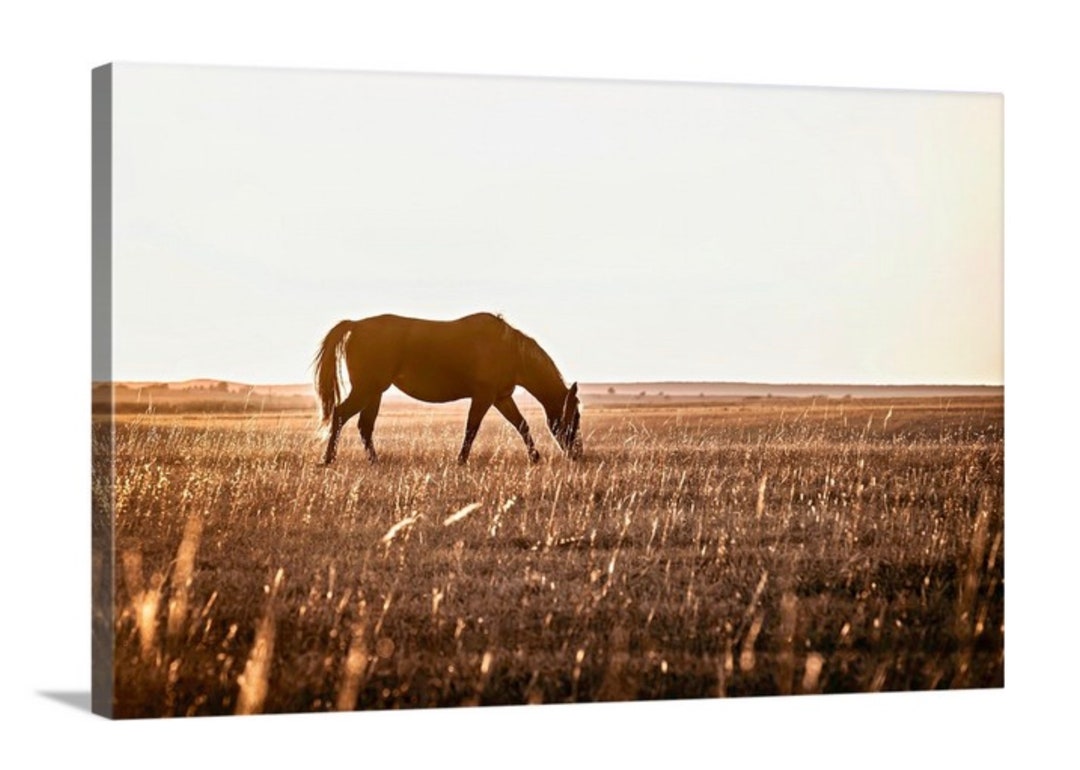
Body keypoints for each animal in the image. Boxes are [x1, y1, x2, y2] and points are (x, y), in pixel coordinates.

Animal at [313, 313, 583, 465]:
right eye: (575, 417)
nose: (578, 454)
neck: (509, 349)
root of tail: (355, 325)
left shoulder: (501, 398)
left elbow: (521, 425)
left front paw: (535, 457)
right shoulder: (484, 397)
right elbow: (472, 428)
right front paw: (461, 460)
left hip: (374, 392)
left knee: (364, 426)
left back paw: (373, 461)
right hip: (366, 390)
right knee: (340, 415)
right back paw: (328, 459)